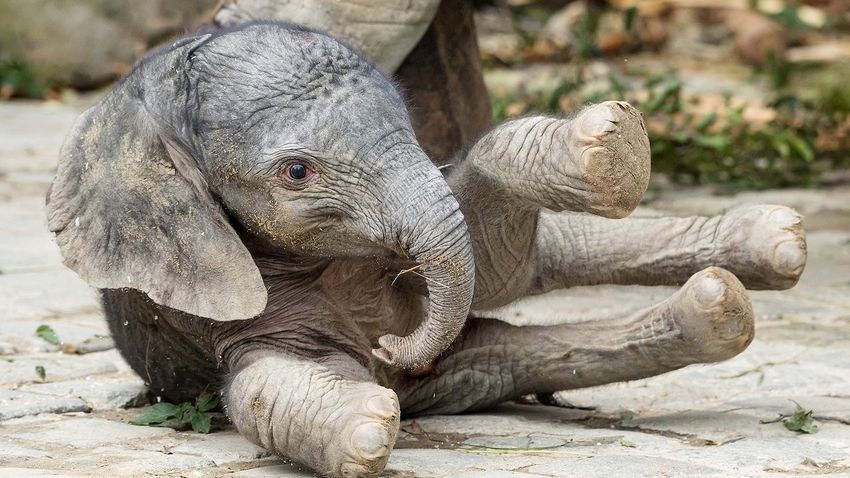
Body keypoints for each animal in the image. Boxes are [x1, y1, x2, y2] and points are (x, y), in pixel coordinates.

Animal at [46, 21, 800, 478]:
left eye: (408, 121)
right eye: (297, 172)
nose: (391, 349)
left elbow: (490, 246)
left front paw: (606, 148)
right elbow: (262, 386)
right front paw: (367, 423)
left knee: (543, 259)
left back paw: (768, 246)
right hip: (464, 374)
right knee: (510, 353)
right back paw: (720, 306)